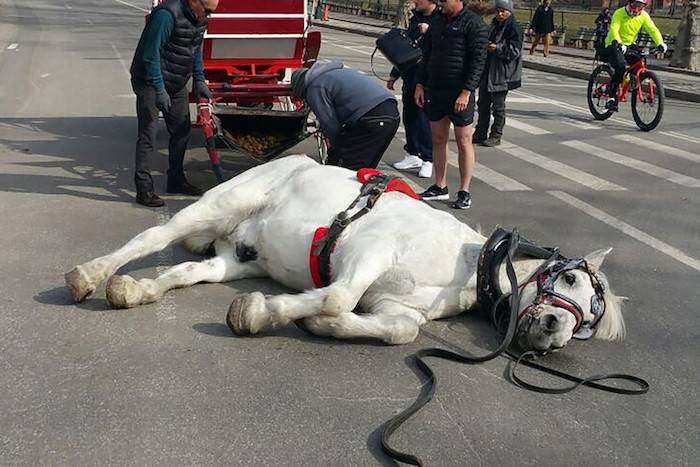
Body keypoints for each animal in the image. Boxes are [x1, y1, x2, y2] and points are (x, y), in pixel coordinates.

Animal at [65, 155, 625, 352]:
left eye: (589, 323)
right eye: (571, 280)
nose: (554, 333)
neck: (461, 263)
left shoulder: (396, 308)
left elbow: (400, 332)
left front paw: (316, 325)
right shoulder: (369, 250)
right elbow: (336, 296)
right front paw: (264, 311)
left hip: (236, 258)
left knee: (183, 270)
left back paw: (134, 289)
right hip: (218, 206)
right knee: (153, 240)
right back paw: (90, 275)